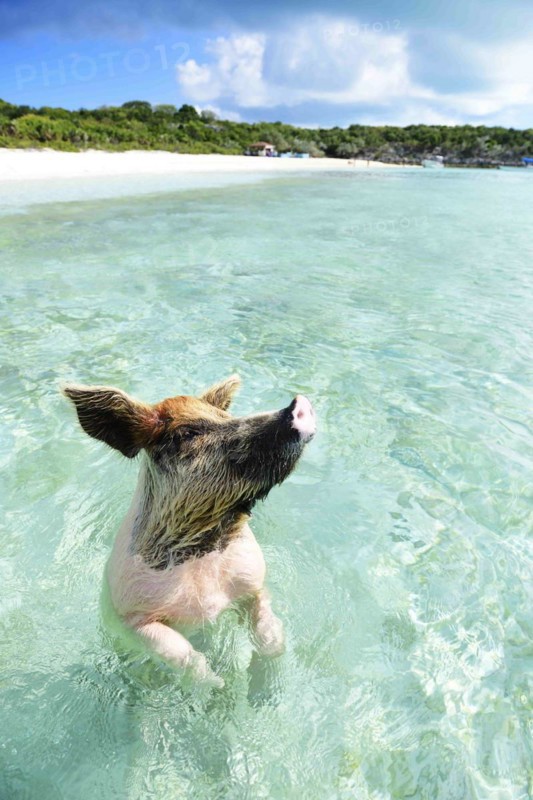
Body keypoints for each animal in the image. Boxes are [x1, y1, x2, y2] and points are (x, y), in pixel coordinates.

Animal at [62, 375, 316, 687]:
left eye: (225, 417)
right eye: (186, 433)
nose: (297, 404)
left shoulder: (254, 581)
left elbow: (269, 633)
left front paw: (260, 679)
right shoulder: (132, 617)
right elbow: (183, 654)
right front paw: (219, 684)